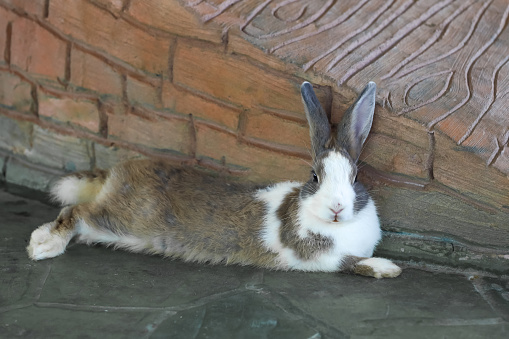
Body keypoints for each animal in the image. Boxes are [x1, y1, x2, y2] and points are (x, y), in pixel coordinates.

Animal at [26, 81, 400, 278]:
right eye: (315, 176)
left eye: (354, 177)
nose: (337, 208)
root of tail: (118, 173)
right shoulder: (314, 257)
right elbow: (349, 262)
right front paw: (388, 267)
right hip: (121, 220)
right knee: (74, 212)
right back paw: (42, 245)